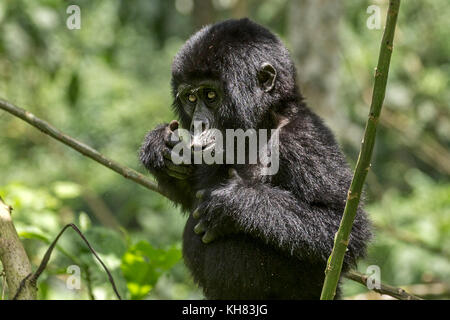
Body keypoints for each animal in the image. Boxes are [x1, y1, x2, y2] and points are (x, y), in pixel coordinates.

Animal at [139, 18, 370, 300]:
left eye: (211, 96)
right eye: (191, 98)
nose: (199, 124)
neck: (263, 124)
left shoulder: (303, 141)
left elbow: (345, 230)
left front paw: (234, 205)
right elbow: (189, 196)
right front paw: (158, 147)